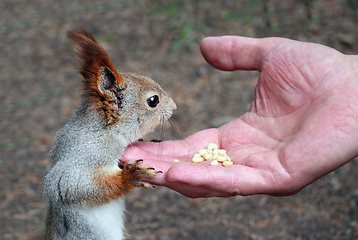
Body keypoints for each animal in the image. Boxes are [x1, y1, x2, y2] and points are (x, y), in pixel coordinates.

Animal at [43, 29, 176, 239]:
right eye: (153, 100)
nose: (175, 106)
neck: (106, 131)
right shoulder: (82, 157)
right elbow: (74, 187)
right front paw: (130, 177)